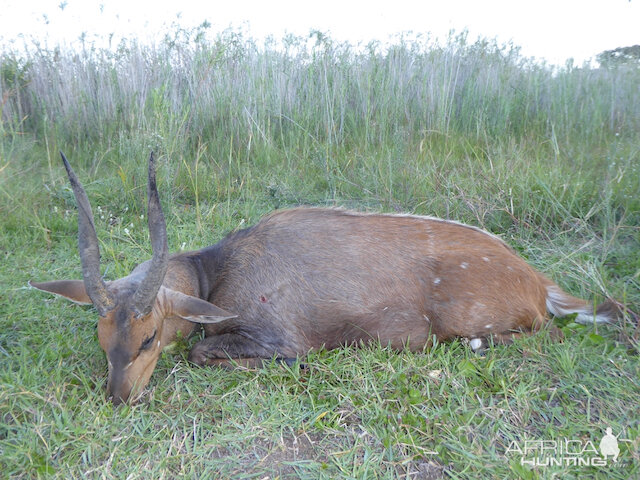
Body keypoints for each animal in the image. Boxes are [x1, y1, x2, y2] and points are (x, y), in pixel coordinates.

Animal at [30, 152, 616, 404]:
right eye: (103, 337)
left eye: (149, 336)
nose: (118, 396)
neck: (214, 272)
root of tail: (537, 280)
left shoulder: (276, 337)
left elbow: (203, 352)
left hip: (480, 323)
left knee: (544, 333)